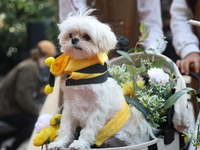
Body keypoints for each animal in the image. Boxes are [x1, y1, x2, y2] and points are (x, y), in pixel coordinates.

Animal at [48, 8, 156, 150]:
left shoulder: (98, 108)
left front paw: (80, 144)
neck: (81, 71)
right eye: (70, 35)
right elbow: (66, 127)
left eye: (87, 36)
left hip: (132, 139)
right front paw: (59, 142)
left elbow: (88, 130)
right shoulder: (70, 106)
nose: (74, 40)